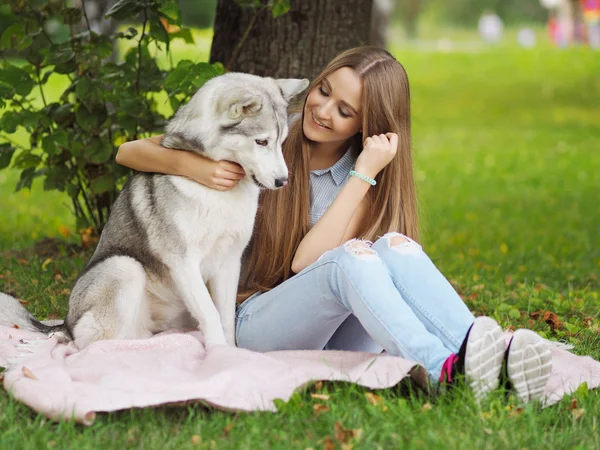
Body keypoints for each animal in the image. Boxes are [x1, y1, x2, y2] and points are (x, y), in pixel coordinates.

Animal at [0, 73, 310, 348]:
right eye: (261, 141)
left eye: (281, 142)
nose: (282, 181)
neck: (218, 192)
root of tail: (65, 320)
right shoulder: (183, 261)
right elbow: (211, 314)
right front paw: (218, 356)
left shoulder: (230, 261)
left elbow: (225, 320)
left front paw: (232, 354)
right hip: (124, 267)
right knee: (89, 341)